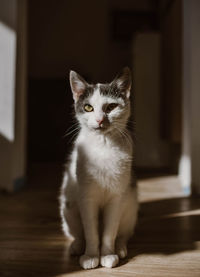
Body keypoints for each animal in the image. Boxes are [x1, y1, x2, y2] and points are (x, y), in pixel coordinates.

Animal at [59, 66, 138, 268]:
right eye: (88, 107)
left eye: (111, 107)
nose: (100, 120)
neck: (103, 145)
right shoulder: (87, 198)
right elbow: (91, 232)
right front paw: (91, 256)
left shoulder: (117, 197)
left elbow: (109, 232)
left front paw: (108, 254)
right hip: (69, 206)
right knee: (78, 234)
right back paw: (77, 247)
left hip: (130, 207)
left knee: (123, 234)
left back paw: (120, 248)